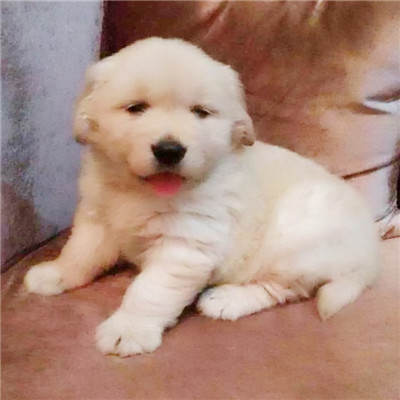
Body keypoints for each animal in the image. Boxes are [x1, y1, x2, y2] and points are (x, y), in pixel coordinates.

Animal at [24, 37, 380, 357]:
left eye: (200, 112)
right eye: (136, 108)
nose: (170, 150)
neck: (140, 191)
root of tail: (368, 247)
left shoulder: (183, 246)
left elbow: (148, 291)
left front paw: (129, 329)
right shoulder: (97, 218)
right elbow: (80, 253)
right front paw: (55, 273)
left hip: (295, 244)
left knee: (281, 288)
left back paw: (227, 300)